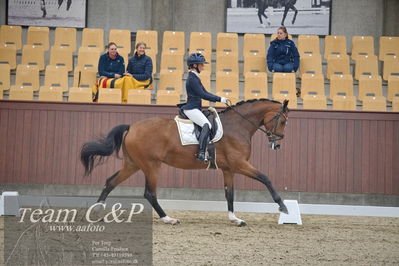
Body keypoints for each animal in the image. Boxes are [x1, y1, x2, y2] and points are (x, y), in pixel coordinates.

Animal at [79, 98, 290, 225]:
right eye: (282, 121)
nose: (277, 144)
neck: (238, 126)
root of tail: (131, 127)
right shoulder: (240, 164)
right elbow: (265, 178)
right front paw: (283, 206)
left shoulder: (229, 169)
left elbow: (229, 194)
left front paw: (234, 218)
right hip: (151, 166)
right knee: (149, 193)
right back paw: (168, 219)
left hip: (133, 164)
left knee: (111, 182)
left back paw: (96, 212)